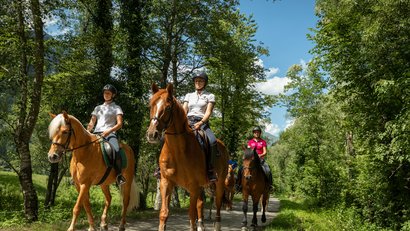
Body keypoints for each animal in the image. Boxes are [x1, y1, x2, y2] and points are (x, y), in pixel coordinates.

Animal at [147, 83, 231, 231]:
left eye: (168, 107)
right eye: (151, 105)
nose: (152, 134)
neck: (178, 151)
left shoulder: (193, 186)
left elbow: (191, 214)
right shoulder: (166, 182)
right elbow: (164, 213)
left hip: (219, 183)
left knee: (218, 204)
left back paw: (217, 225)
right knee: (200, 204)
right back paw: (201, 225)